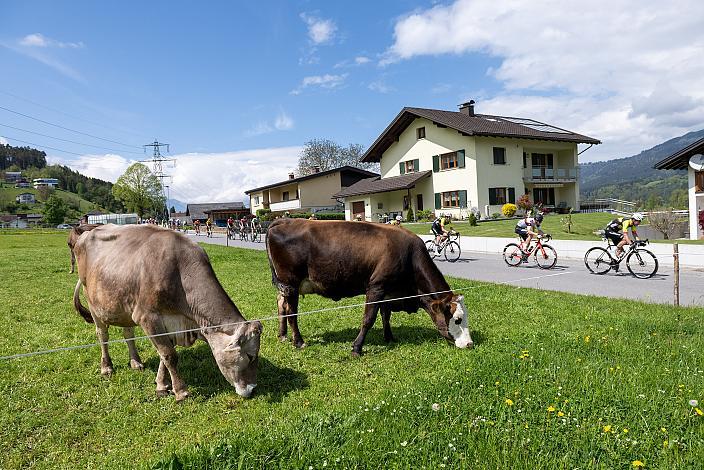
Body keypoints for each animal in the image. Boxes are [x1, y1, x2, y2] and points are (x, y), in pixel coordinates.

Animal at [73, 224, 262, 400]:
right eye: (250, 356)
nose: (253, 389)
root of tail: (87, 232)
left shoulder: (171, 323)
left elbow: (164, 356)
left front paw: (162, 385)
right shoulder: (148, 317)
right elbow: (169, 355)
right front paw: (181, 391)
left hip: (124, 306)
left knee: (128, 334)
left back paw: (136, 362)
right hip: (92, 302)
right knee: (102, 335)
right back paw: (106, 367)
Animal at [266, 219, 472, 356]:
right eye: (458, 319)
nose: (470, 344)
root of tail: (284, 221)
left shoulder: (387, 292)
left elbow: (385, 315)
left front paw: (389, 337)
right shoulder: (376, 287)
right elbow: (369, 318)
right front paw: (357, 348)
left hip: (286, 286)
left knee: (281, 305)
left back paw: (282, 335)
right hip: (291, 283)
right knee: (291, 312)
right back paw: (298, 341)